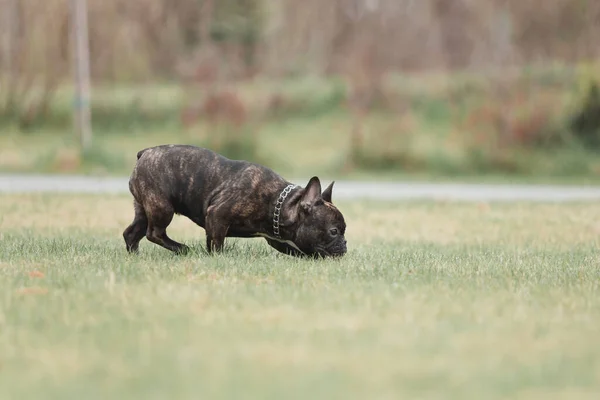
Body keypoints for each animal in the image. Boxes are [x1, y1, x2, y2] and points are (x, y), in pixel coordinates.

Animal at [122, 145, 346, 258]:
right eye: (334, 231)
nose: (344, 243)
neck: (278, 202)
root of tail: (144, 153)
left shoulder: (276, 238)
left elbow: (297, 250)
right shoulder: (217, 215)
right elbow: (216, 242)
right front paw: (217, 259)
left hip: (144, 208)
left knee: (131, 233)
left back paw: (135, 257)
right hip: (162, 207)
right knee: (154, 233)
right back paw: (181, 249)